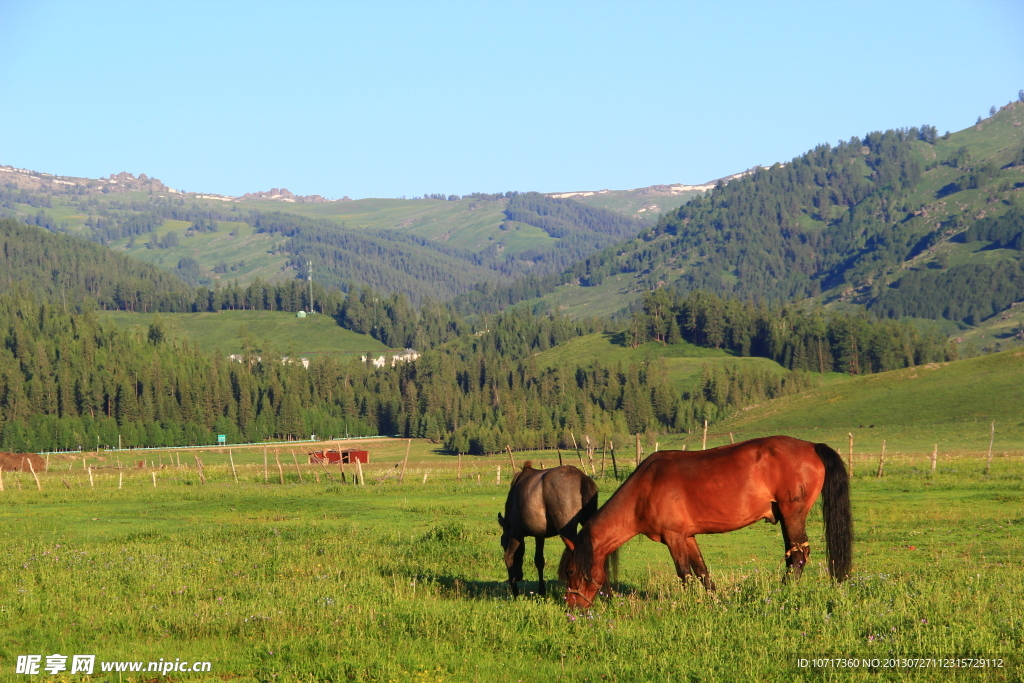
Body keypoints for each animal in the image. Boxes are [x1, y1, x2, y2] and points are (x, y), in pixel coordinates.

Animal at [497, 458, 598, 598]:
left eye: (502, 543)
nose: (519, 576)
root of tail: (582, 478)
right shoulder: (539, 534)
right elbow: (539, 560)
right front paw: (541, 591)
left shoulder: (516, 533)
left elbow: (509, 557)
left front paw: (515, 591)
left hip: (568, 530)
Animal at [557, 436, 851, 606]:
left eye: (570, 572)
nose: (572, 607)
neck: (645, 489)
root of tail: (812, 446)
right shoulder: (687, 536)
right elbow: (702, 572)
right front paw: (715, 601)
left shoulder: (674, 537)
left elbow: (684, 573)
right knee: (793, 555)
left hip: (793, 515)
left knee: (799, 555)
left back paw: (783, 592)